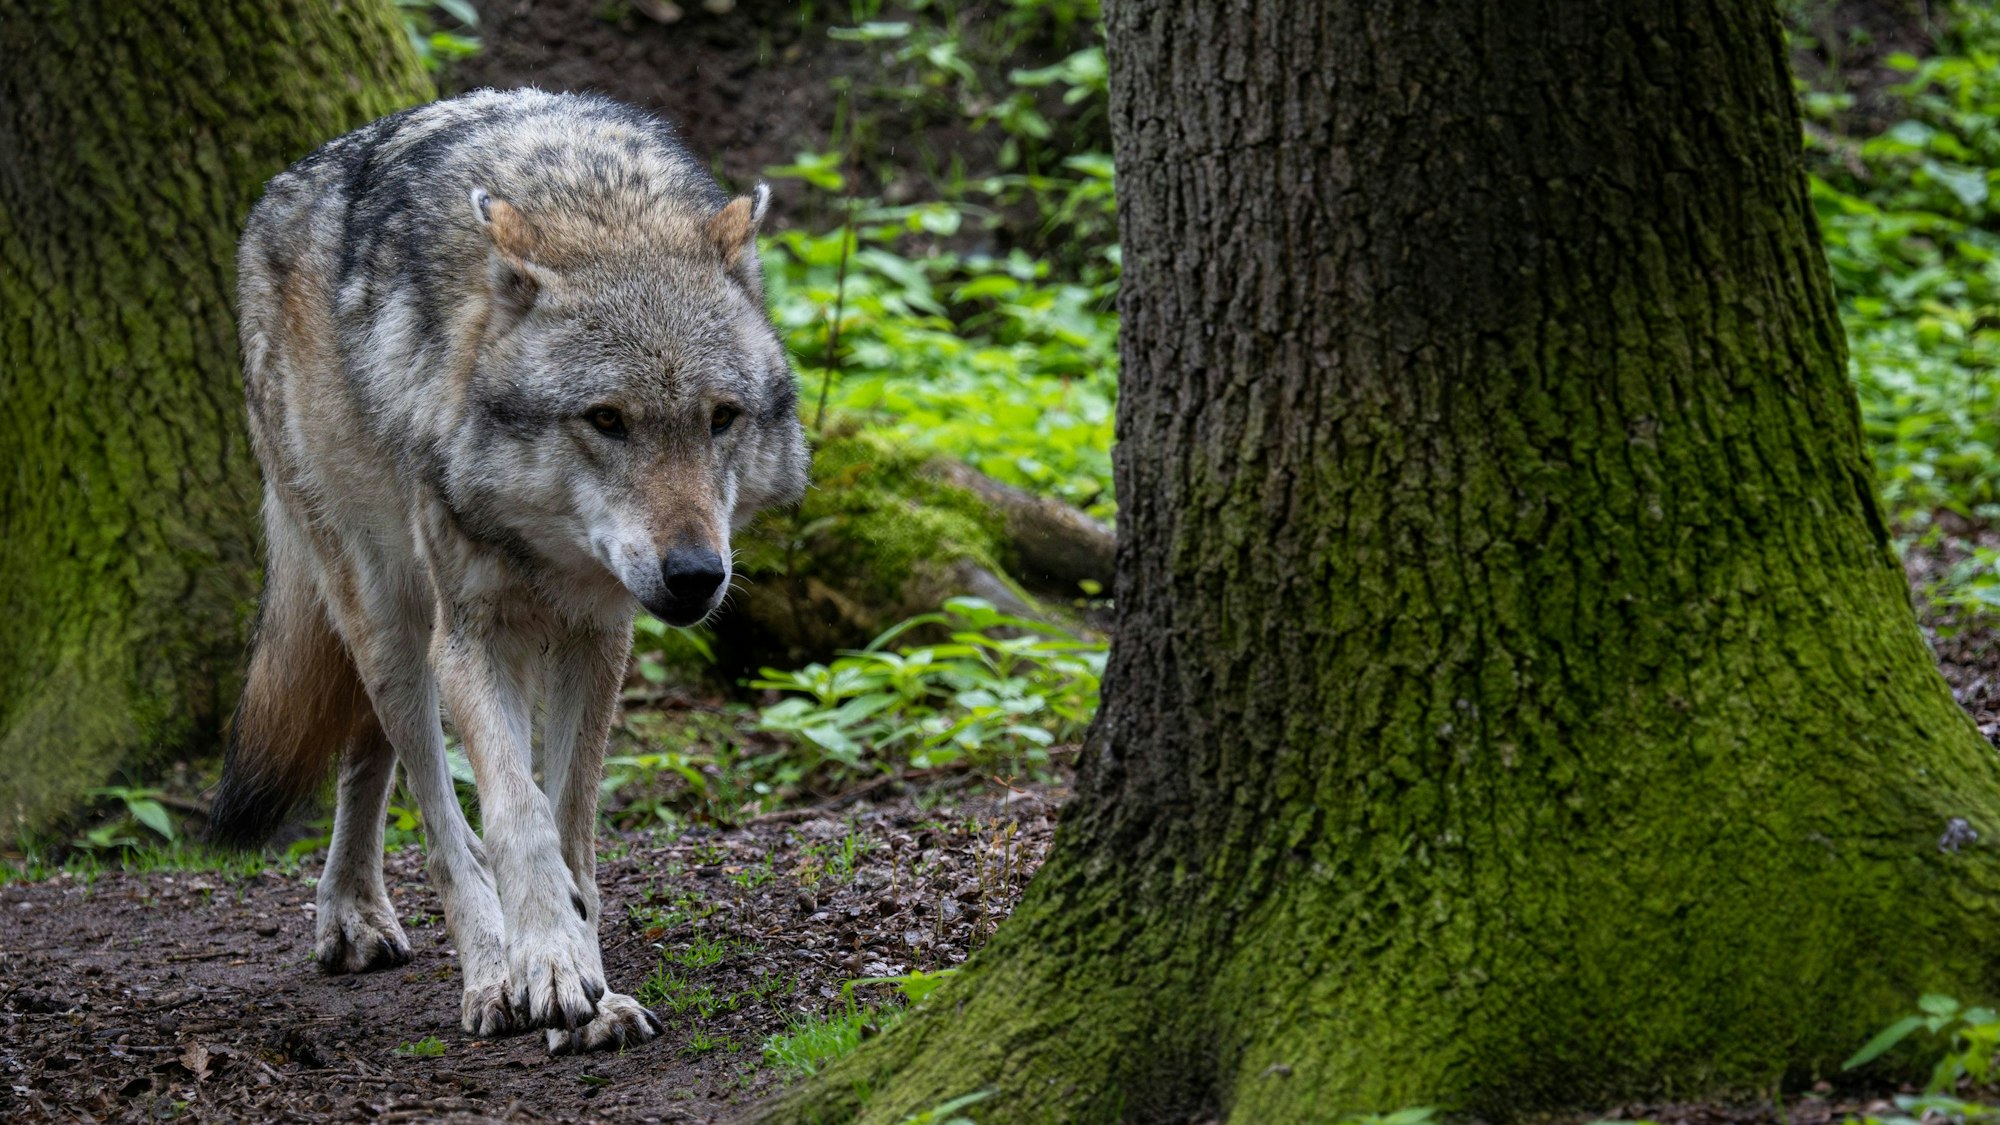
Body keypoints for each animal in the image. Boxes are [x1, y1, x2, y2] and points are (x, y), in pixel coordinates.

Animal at [208, 89, 808, 1053]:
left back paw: (359, 911)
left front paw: (591, 981)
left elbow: (570, 823)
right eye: (606, 419)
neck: (595, 205)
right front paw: (547, 967)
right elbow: (515, 817)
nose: (694, 574)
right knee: (435, 807)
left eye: (721, 417)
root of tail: (279, 191)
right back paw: (484, 971)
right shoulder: (475, 636)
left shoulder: (598, 637)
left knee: (368, 755)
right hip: (391, 617)